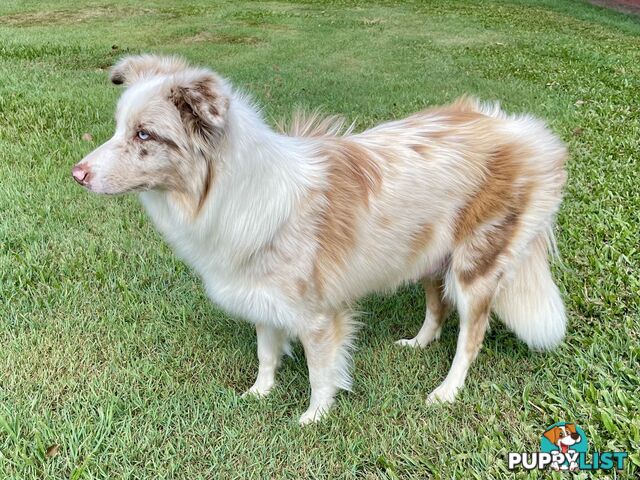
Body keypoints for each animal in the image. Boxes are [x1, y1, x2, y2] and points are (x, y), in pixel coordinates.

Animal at [72, 55, 568, 424]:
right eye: (119, 128)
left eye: (145, 134)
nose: (77, 175)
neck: (232, 190)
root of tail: (522, 130)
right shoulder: (262, 295)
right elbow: (266, 351)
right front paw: (259, 393)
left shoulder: (317, 316)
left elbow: (319, 371)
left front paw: (314, 416)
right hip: (428, 252)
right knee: (436, 304)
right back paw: (418, 343)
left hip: (474, 267)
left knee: (471, 334)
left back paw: (446, 391)